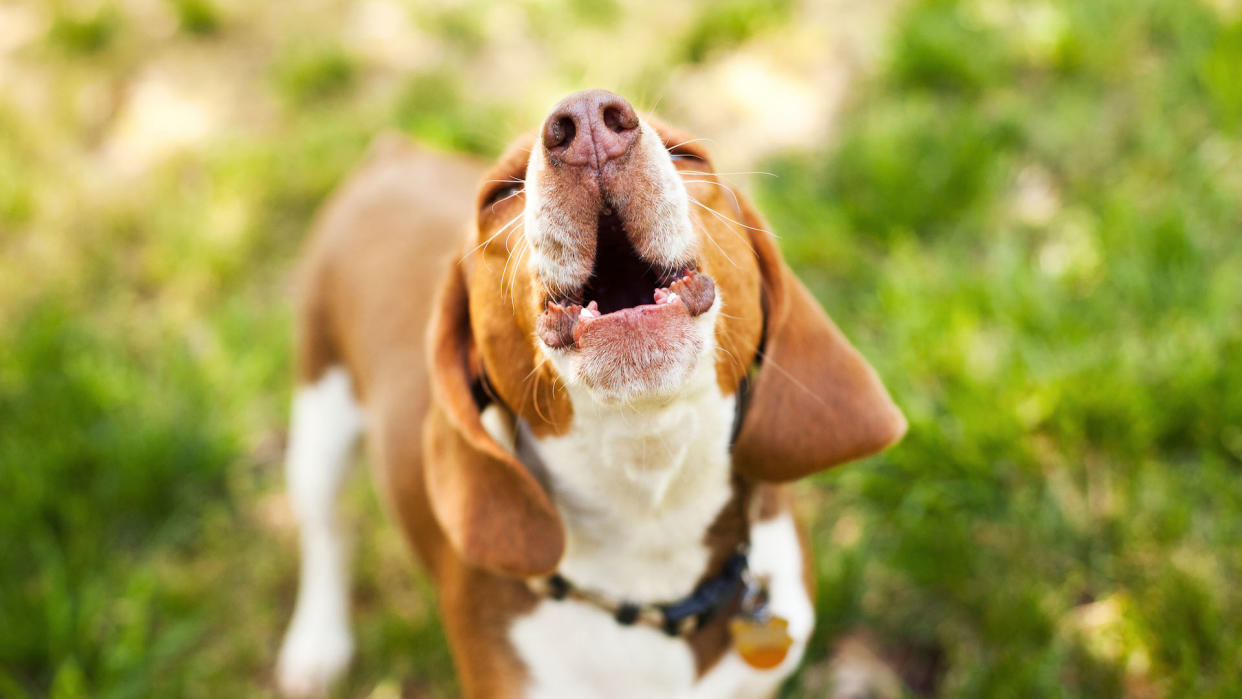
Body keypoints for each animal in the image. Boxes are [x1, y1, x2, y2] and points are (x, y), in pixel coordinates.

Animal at [276, 90, 909, 695]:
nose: (585, 121)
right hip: (319, 413)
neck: (651, 510)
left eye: (688, 156)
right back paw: (316, 645)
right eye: (498, 195)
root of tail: (395, 152)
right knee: (325, 532)